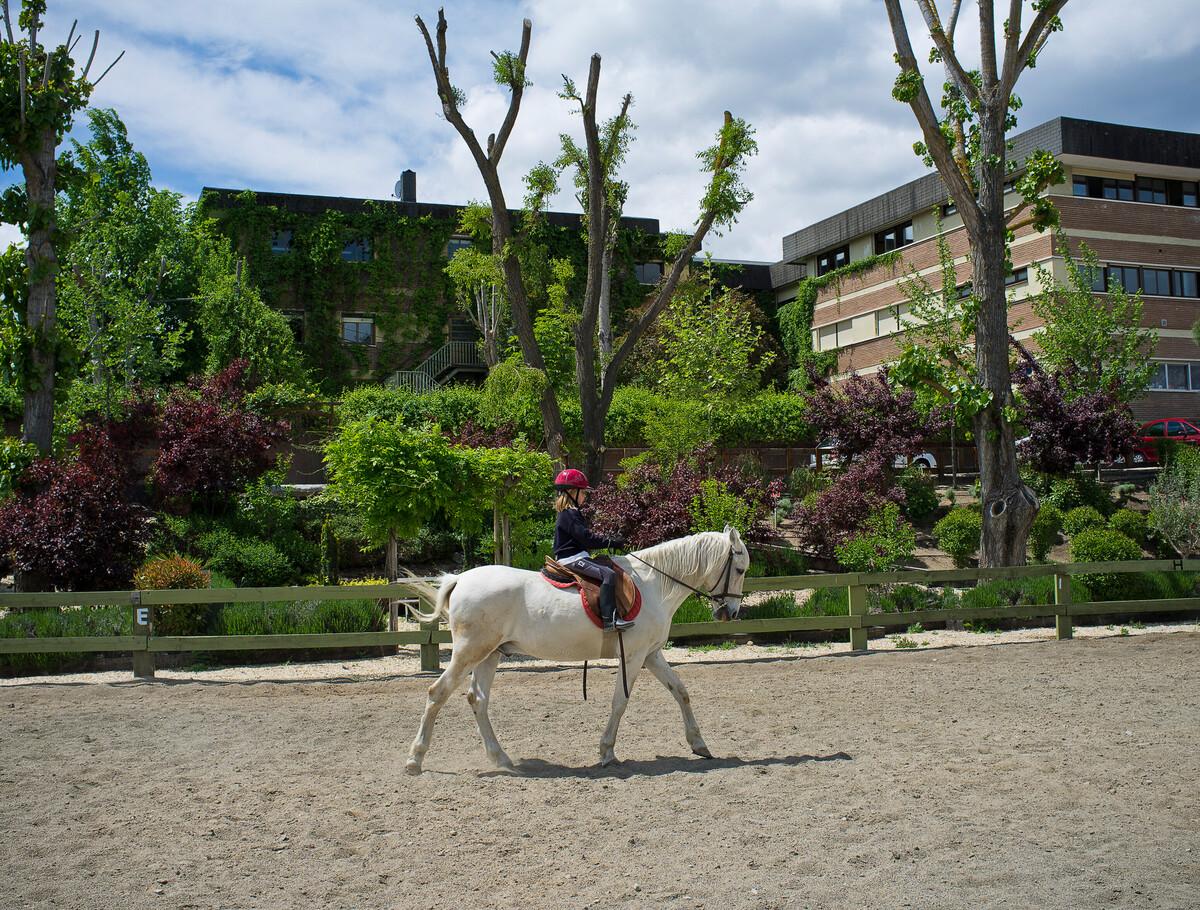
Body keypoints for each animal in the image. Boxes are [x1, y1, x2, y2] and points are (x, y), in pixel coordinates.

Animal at [405, 527, 750, 774]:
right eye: (740, 569)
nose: (730, 613)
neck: (654, 584)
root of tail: (460, 579)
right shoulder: (634, 656)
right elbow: (620, 702)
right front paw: (607, 751)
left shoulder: (651, 655)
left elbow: (681, 691)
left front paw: (699, 744)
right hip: (470, 652)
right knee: (437, 692)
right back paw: (415, 760)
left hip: (490, 654)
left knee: (477, 699)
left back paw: (501, 759)